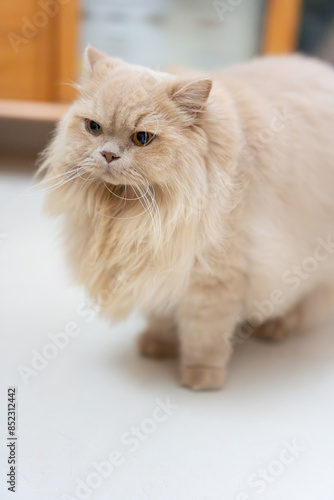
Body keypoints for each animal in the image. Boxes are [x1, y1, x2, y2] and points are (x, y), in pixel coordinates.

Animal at [39, 46, 334, 390]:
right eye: (93, 128)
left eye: (142, 138)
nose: (109, 155)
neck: (127, 212)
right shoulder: (155, 266)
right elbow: (161, 318)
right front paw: (157, 346)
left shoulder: (213, 278)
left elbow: (203, 337)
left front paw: (200, 377)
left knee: (301, 308)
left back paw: (274, 328)